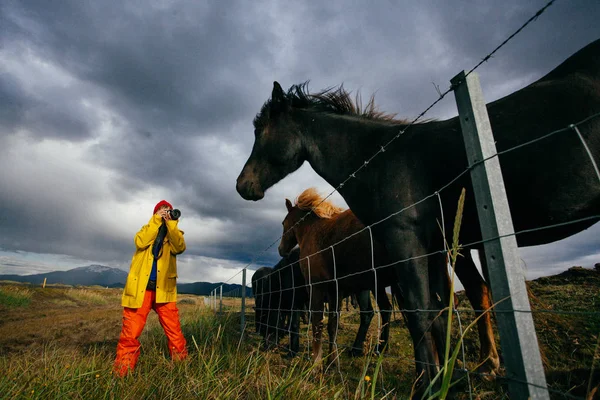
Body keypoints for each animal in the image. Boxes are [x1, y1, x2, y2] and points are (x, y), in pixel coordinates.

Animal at [278, 188, 406, 368]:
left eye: (284, 223)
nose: (281, 250)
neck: (313, 230)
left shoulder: (316, 287)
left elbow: (317, 323)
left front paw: (317, 362)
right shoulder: (335, 292)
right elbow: (332, 325)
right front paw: (332, 361)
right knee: (386, 309)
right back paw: (379, 348)